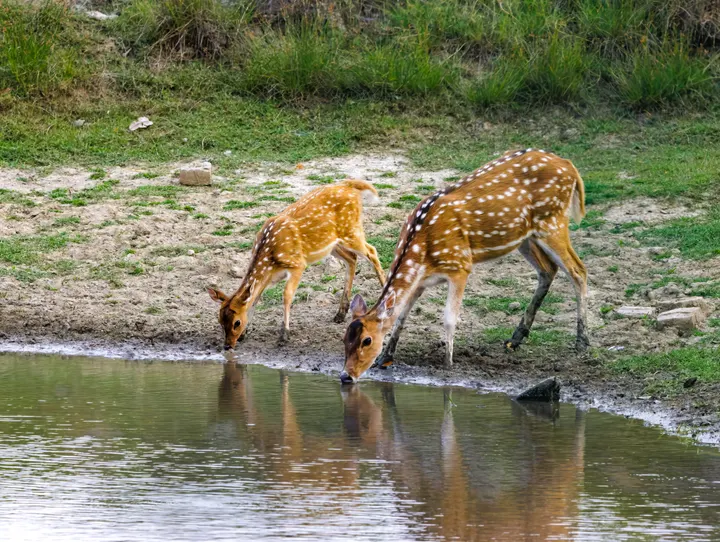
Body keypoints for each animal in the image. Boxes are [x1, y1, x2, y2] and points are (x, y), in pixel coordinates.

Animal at [208, 179, 386, 350]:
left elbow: (286, 295)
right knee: (352, 258)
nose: (227, 346)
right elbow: (256, 298)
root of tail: (350, 185)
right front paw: (246, 334)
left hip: (351, 230)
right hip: (333, 244)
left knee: (372, 251)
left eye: (236, 322)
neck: (270, 258)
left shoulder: (297, 264)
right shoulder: (269, 277)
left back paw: (385, 291)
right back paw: (340, 314)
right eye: (220, 321)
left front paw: (284, 335)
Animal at [341, 148, 589, 384]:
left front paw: (448, 363)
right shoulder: (420, 282)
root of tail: (570, 166)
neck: (423, 253)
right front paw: (385, 358)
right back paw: (515, 339)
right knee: (548, 270)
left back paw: (582, 343)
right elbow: (401, 316)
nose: (346, 376)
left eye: (367, 340)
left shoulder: (460, 266)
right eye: (344, 338)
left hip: (553, 221)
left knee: (578, 270)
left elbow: (449, 318)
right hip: (526, 238)